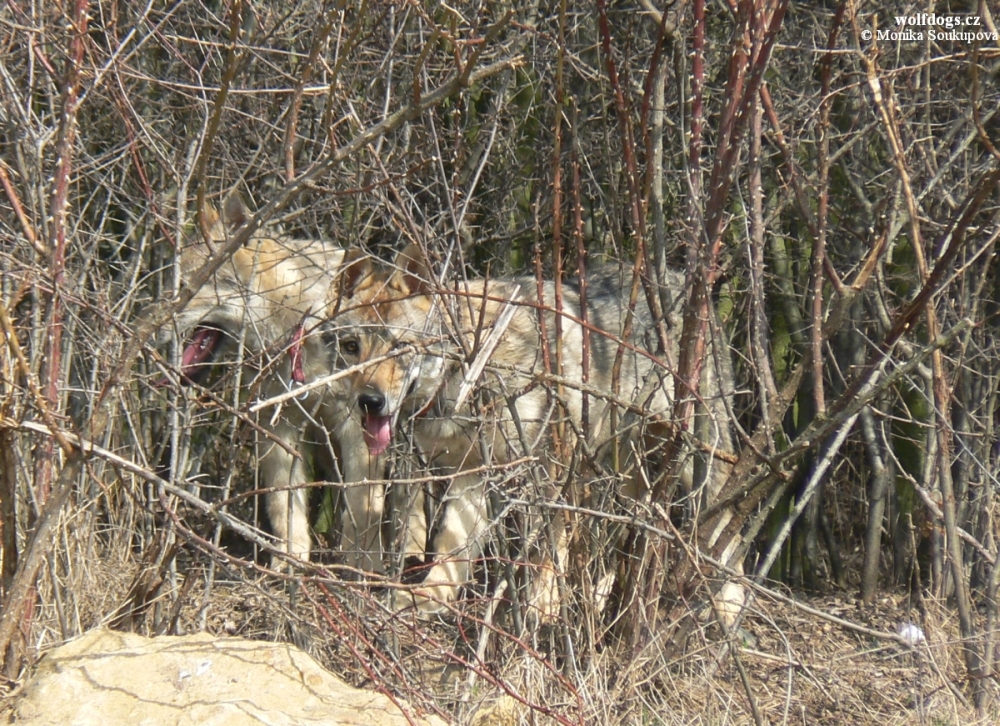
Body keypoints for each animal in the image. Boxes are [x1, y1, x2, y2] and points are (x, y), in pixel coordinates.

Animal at [174, 198, 358, 564]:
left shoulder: (355, 427)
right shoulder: (277, 431)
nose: (156, 319)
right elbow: (285, 512)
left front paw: (359, 566)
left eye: (190, 287)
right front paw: (287, 564)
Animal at [322, 246, 736, 616]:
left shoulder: (553, 470)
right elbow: (450, 554)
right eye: (351, 346)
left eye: (400, 348)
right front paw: (422, 603)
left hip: (698, 462)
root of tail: (684, 283)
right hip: (627, 473)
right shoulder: (474, 475)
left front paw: (543, 608)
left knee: (724, 534)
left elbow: (550, 549)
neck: (468, 368)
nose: (369, 402)